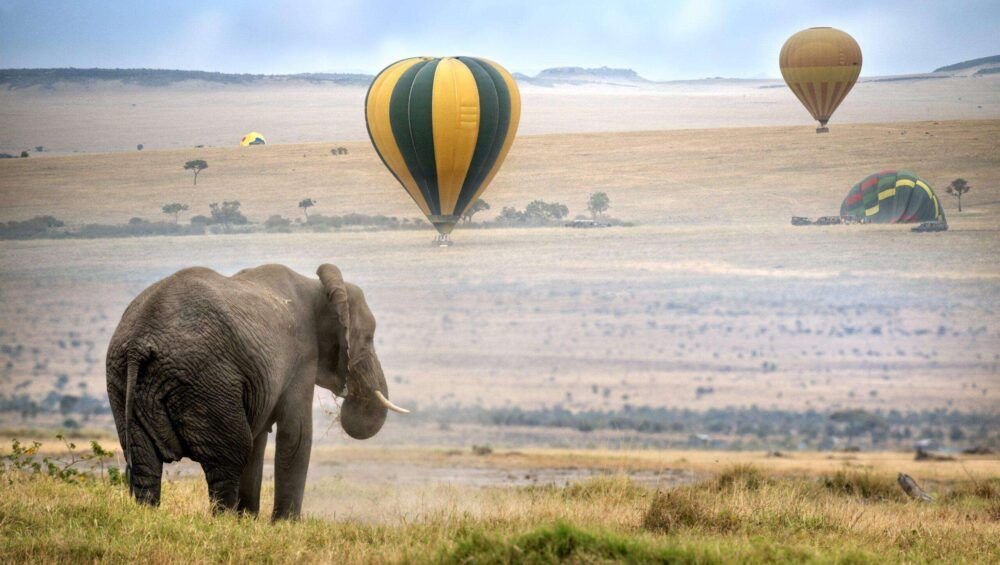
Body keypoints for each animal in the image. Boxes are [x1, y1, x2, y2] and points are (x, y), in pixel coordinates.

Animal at [105, 262, 406, 516]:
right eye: (369, 338)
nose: (349, 394)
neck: (317, 286)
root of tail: (139, 343)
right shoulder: (302, 356)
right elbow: (296, 435)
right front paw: (284, 525)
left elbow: (260, 438)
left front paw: (248, 520)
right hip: (205, 380)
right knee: (230, 455)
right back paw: (223, 521)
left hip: (122, 381)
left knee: (144, 461)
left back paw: (149, 515)